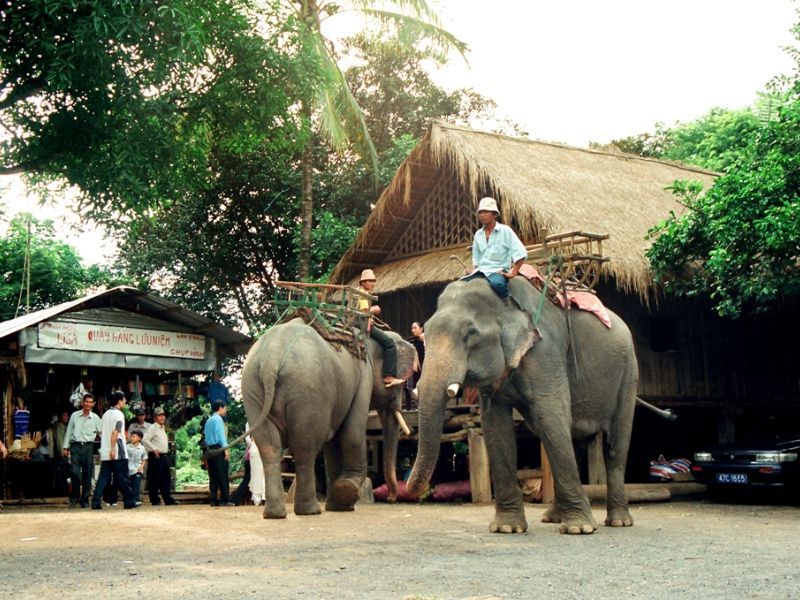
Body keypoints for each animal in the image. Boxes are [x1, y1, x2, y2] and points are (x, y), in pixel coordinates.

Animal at [238, 316, 412, 516]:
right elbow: (352, 432)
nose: (391, 498)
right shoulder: (363, 377)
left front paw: (339, 506)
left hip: (253, 389)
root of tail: (271, 359)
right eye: (399, 385)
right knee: (305, 447)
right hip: (308, 391)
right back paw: (310, 510)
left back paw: (275, 514)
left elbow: (334, 442)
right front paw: (346, 492)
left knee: (269, 447)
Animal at [406, 276, 636, 536]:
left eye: (470, 334)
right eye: (427, 331)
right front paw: (506, 528)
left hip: (628, 374)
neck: (506, 300)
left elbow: (550, 417)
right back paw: (553, 518)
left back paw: (618, 522)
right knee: (572, 439)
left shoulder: (545, 351)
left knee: (614, 445)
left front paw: (580, 529)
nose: (414, 491)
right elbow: (496, 426)